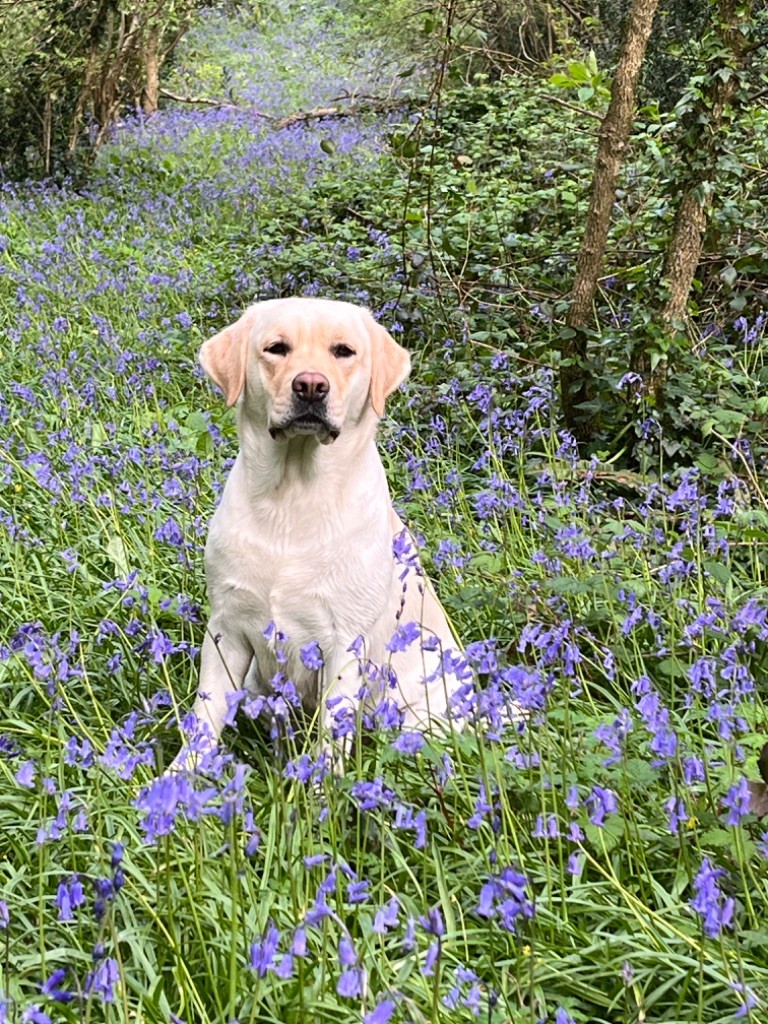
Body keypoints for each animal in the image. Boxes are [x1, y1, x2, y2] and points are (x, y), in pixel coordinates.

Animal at [177, 294, 460, 761]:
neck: (292, 498)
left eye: (343, 351)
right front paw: (181, 776)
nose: (310, 385)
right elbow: (204, 716)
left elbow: (330, 736)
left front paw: (323, 780)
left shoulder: (342, 643)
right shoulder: (226, 630)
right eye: (276, 348)